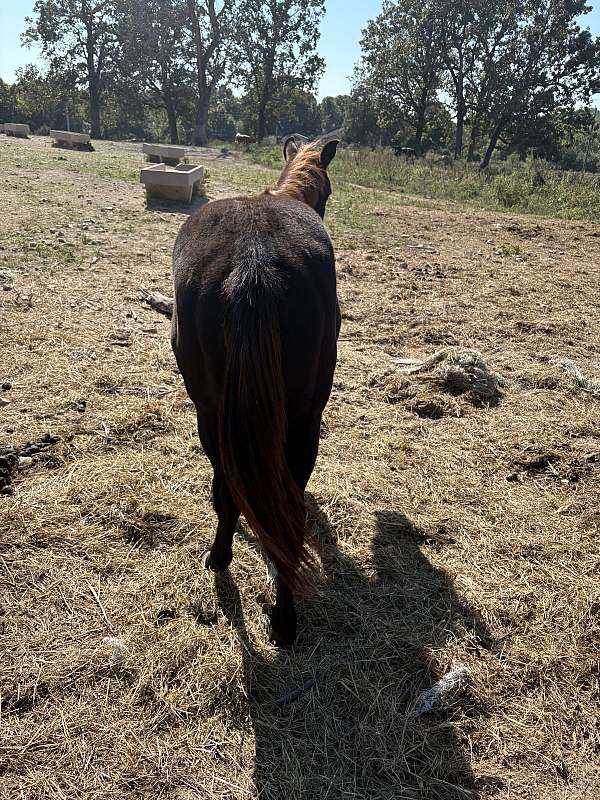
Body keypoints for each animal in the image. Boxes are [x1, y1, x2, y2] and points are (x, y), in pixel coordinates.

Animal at [171, 136, 340, 646]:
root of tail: (254, 255)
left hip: (215, 415)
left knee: (236, 491)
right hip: (300, 420)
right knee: (277, 505)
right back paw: (280, 614)